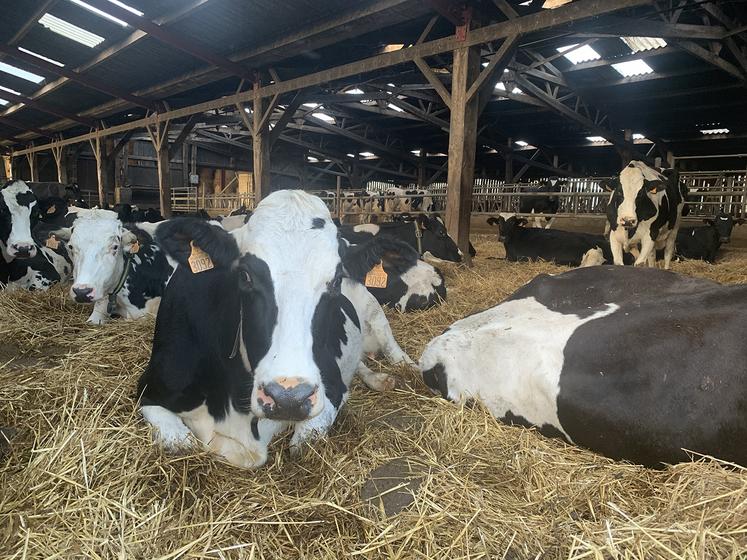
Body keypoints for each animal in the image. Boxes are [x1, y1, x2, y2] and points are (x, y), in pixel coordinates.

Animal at [140, 190, 414, 466]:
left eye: (336, 281)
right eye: (245, 275)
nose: (289, 398)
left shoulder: (331, 390)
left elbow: (302, 444)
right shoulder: (149, 389)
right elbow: (179, 440)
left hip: (373, 308)